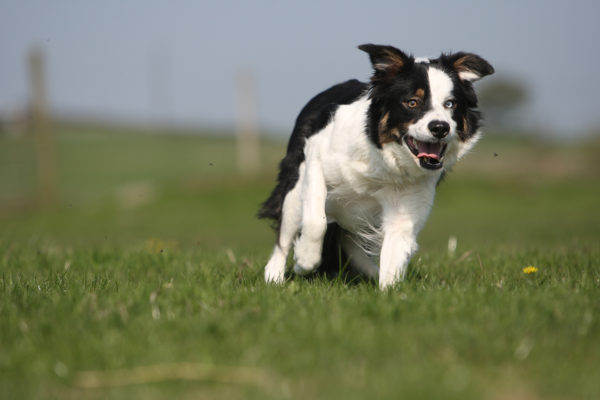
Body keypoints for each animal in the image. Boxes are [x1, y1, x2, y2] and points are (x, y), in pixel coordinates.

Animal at [256, 43, 492, 288]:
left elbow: (393, 259)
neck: (384, 160)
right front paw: (304, 260)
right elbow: (316, 220)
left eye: (450, 104)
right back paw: (274, 278)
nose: (440, 127)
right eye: (412, 102)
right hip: (293, 192)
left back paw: (369, 273)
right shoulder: (316, 157)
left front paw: (389, 292)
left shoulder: (405, 209)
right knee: (284, 238)